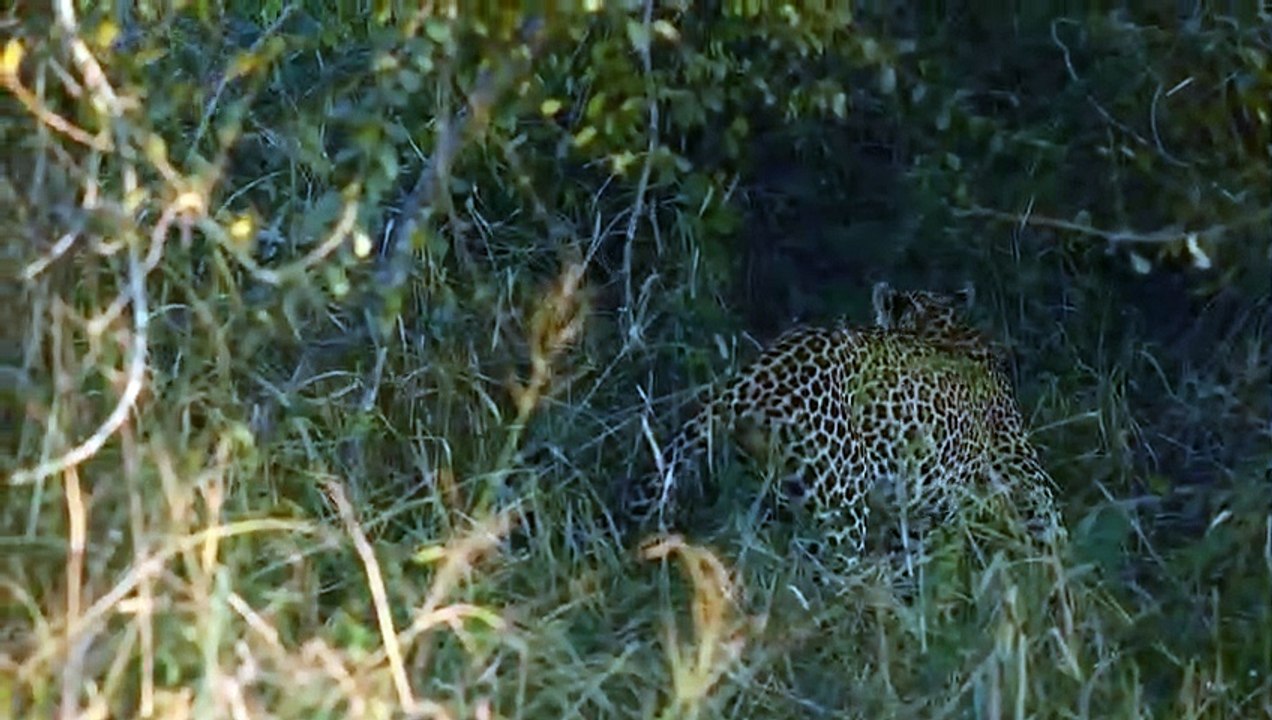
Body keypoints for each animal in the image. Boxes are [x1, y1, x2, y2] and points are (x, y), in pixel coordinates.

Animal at [625, 282, 1065, 572]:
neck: (942, 330)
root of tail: (758, 373)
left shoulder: (916, 511)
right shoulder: (1019, 472)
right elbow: (1049, 528)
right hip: (840, 503)